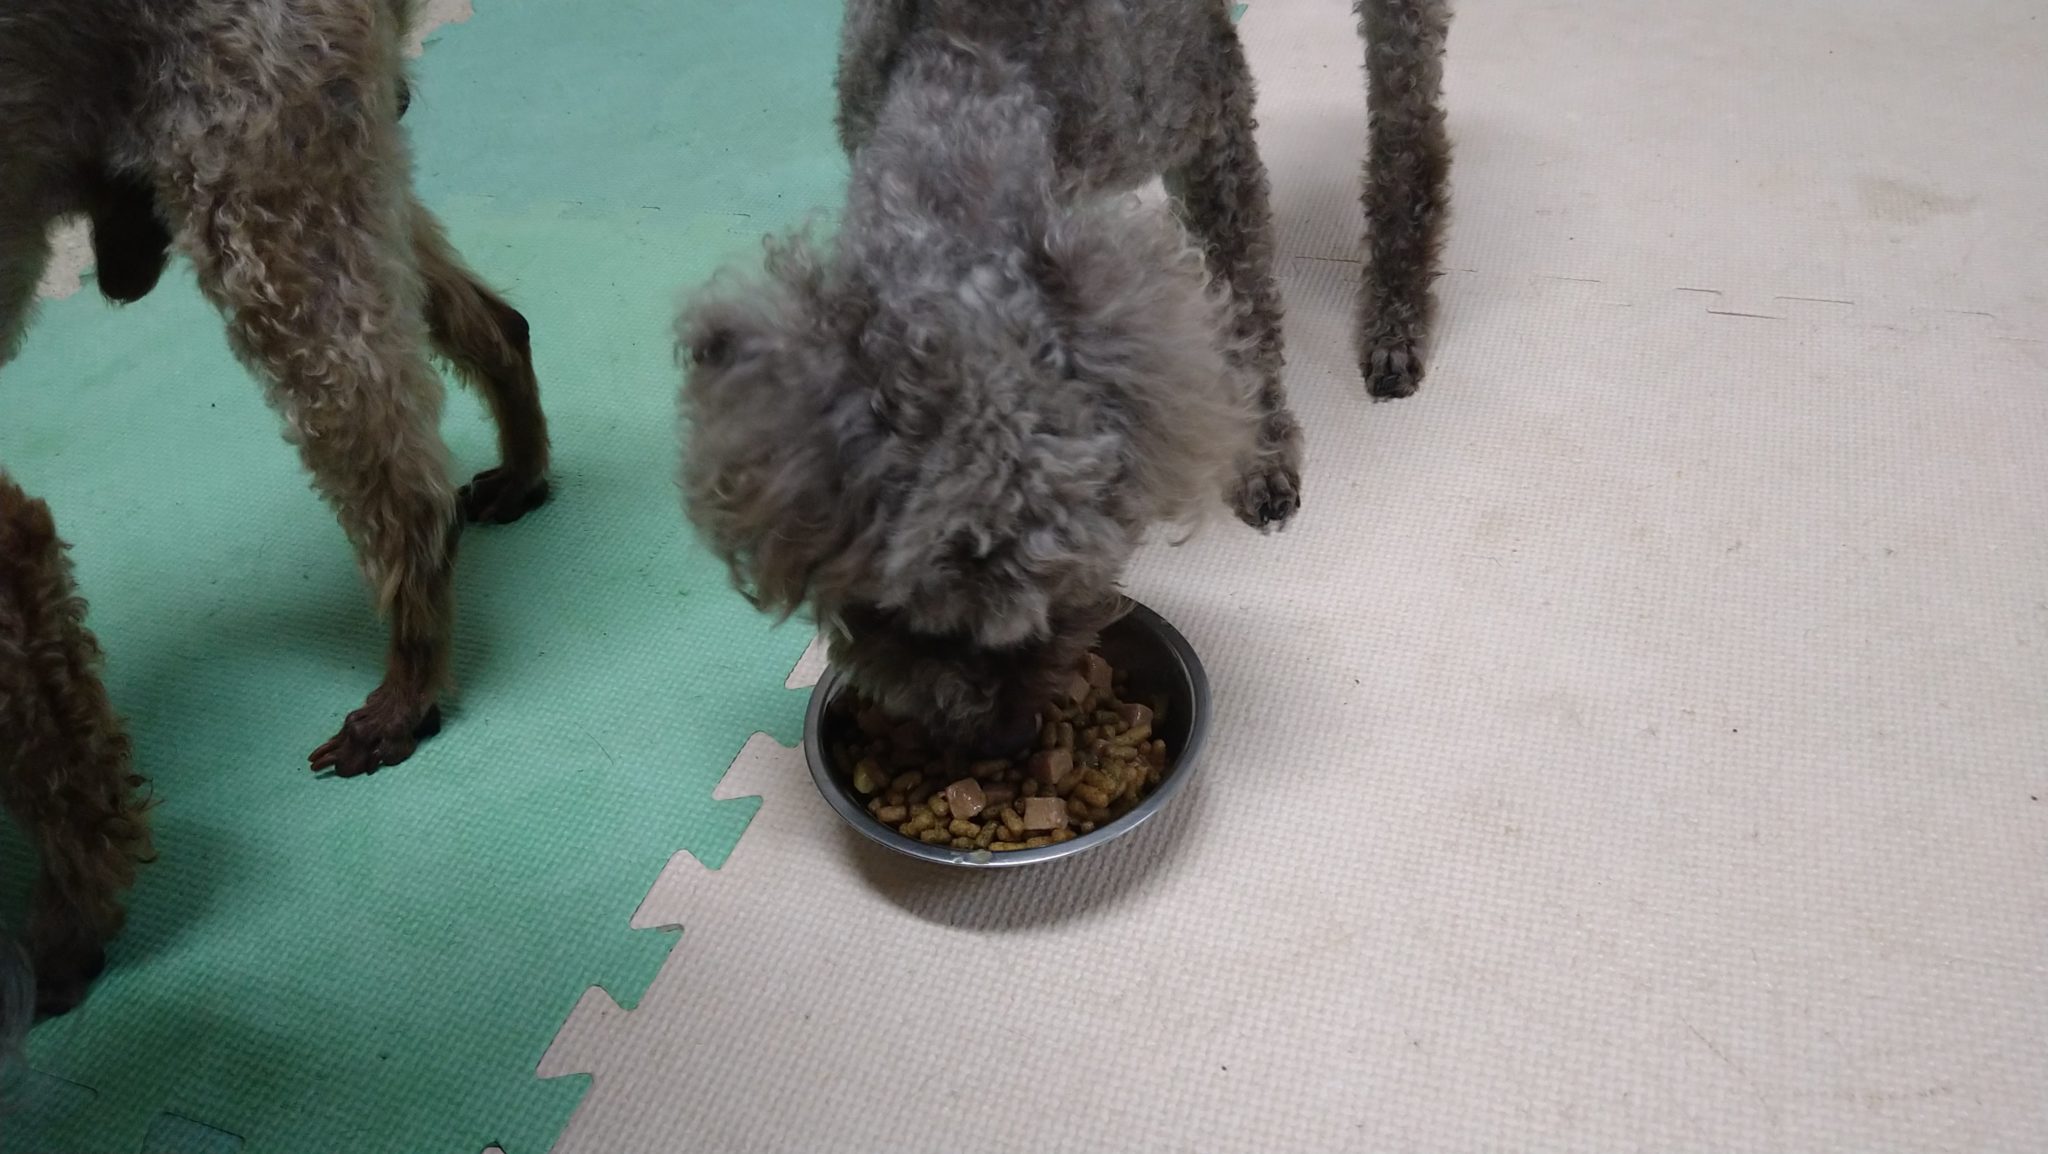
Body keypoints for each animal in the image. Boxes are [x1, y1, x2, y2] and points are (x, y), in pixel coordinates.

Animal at [1, 0, 552, 777]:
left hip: (260, 194)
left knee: (407, 488)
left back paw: (407, 688)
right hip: (337, 185)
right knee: (500, 326)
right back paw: (523, 471)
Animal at [679, 0, 1300, 753]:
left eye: (1064, 599)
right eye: (910, 619)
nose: (1002, 737)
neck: (969, 61)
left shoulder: (1206, 116)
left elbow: (1245, 298)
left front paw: (1262, 449)